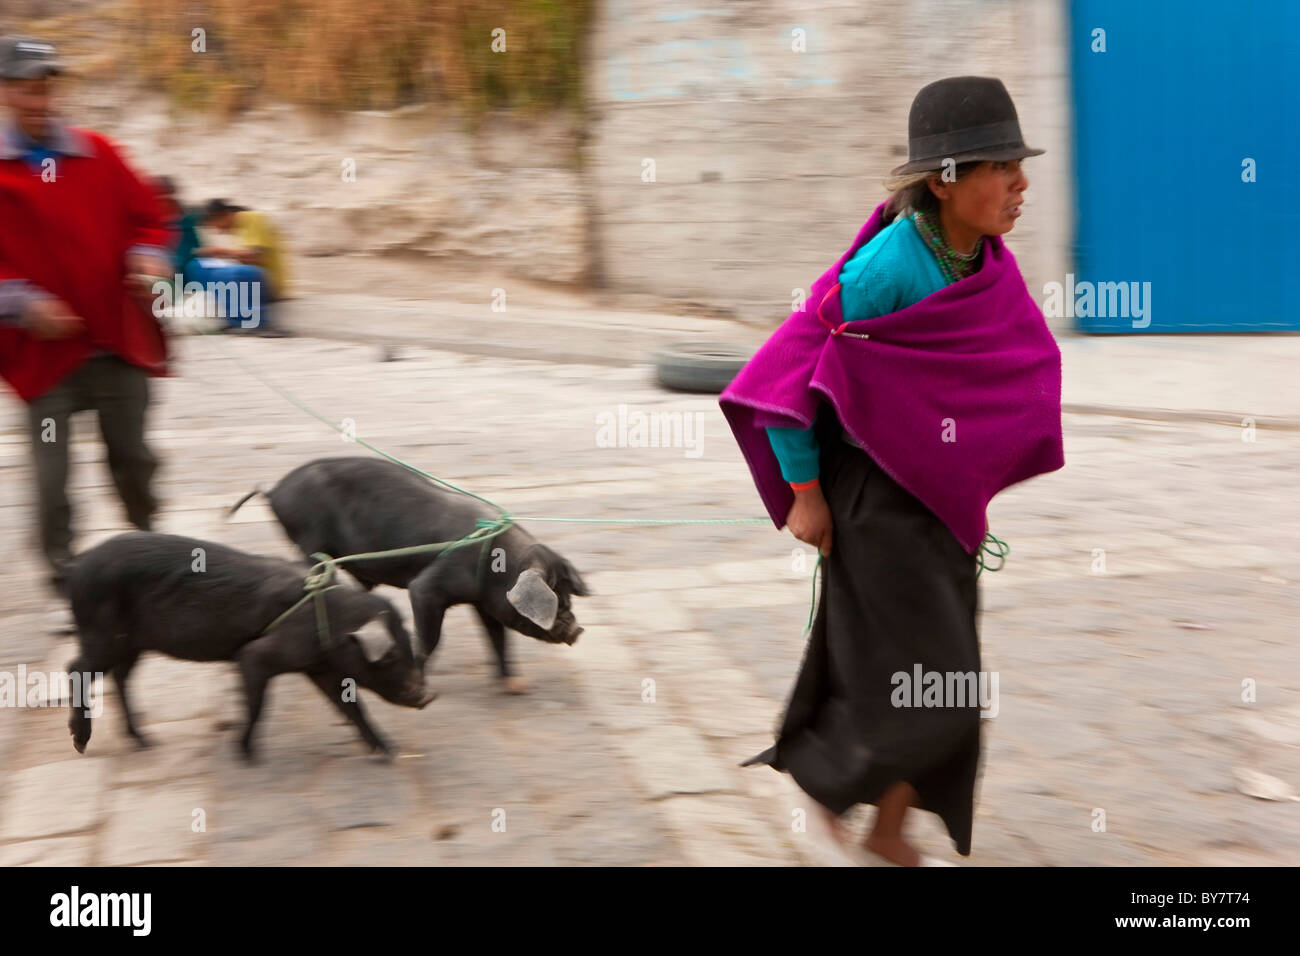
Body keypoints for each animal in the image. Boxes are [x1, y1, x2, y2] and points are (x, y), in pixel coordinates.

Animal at [65, 530, 434, 764]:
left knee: (119, 677)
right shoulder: (258, 656)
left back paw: (144, 741)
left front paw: (387, 751)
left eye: (408, 646)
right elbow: (257, 704)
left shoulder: (320, 667)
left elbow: (353, 708)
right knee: (77, 669)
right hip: (102, 633)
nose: (427, 695)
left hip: (132, 643)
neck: (330, 619)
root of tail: (77, 565)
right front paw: (246, 754)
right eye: (390, 657)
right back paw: (81, 744)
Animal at [235, 457, 595, 697]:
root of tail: (275, 490)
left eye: (566, 594)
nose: (578, 629)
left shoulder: (483, 602)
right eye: (555, 596)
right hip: (308, 540)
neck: (499, 565)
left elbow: (497, 638)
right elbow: (431, 637)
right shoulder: (426, 588)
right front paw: (421, 676)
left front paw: (517, 687)